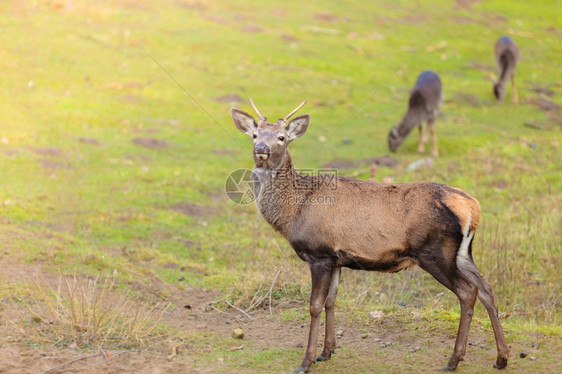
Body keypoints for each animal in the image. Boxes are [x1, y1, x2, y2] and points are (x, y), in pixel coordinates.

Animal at [231, 99, 508, 374]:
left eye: (282, 137)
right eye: (255, 134)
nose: (262, 148)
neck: (294, 211)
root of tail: (471, 206)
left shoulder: (319, 254)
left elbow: (314, 305)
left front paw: (306, 361)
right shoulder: (336, 259)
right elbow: (332, 301)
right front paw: (327, 351)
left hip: (435, 251)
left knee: (468, 291)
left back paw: (454, 360)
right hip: (462, 253)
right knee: (486, 287)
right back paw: (501, 357)